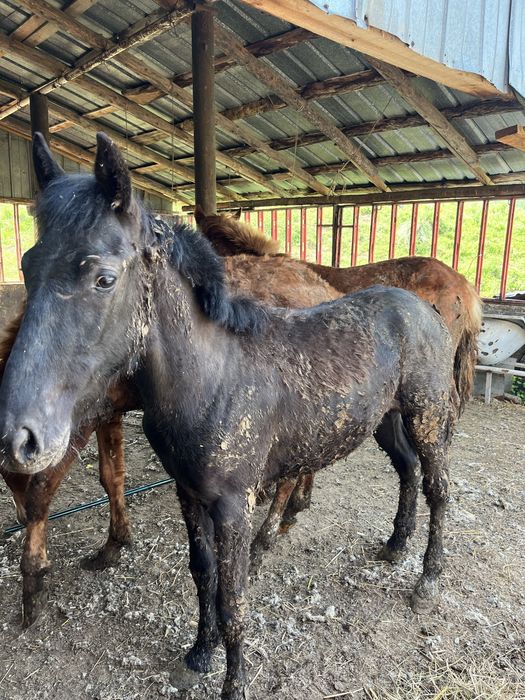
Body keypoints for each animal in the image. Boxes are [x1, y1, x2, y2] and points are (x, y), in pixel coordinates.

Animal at [0, 133, 458, 700]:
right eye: (27, 266)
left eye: (104, 278)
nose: (19, 438)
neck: (213, 376)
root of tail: (422, 307)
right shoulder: (188, 494)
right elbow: (203, 575)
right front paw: (199, 653)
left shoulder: (235, 507)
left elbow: (234, 597)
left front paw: (234, 682)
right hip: (387, 419)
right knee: (408, 471)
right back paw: (395, 546)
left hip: (427, 415)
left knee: (438, 486)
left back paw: (428, 581)